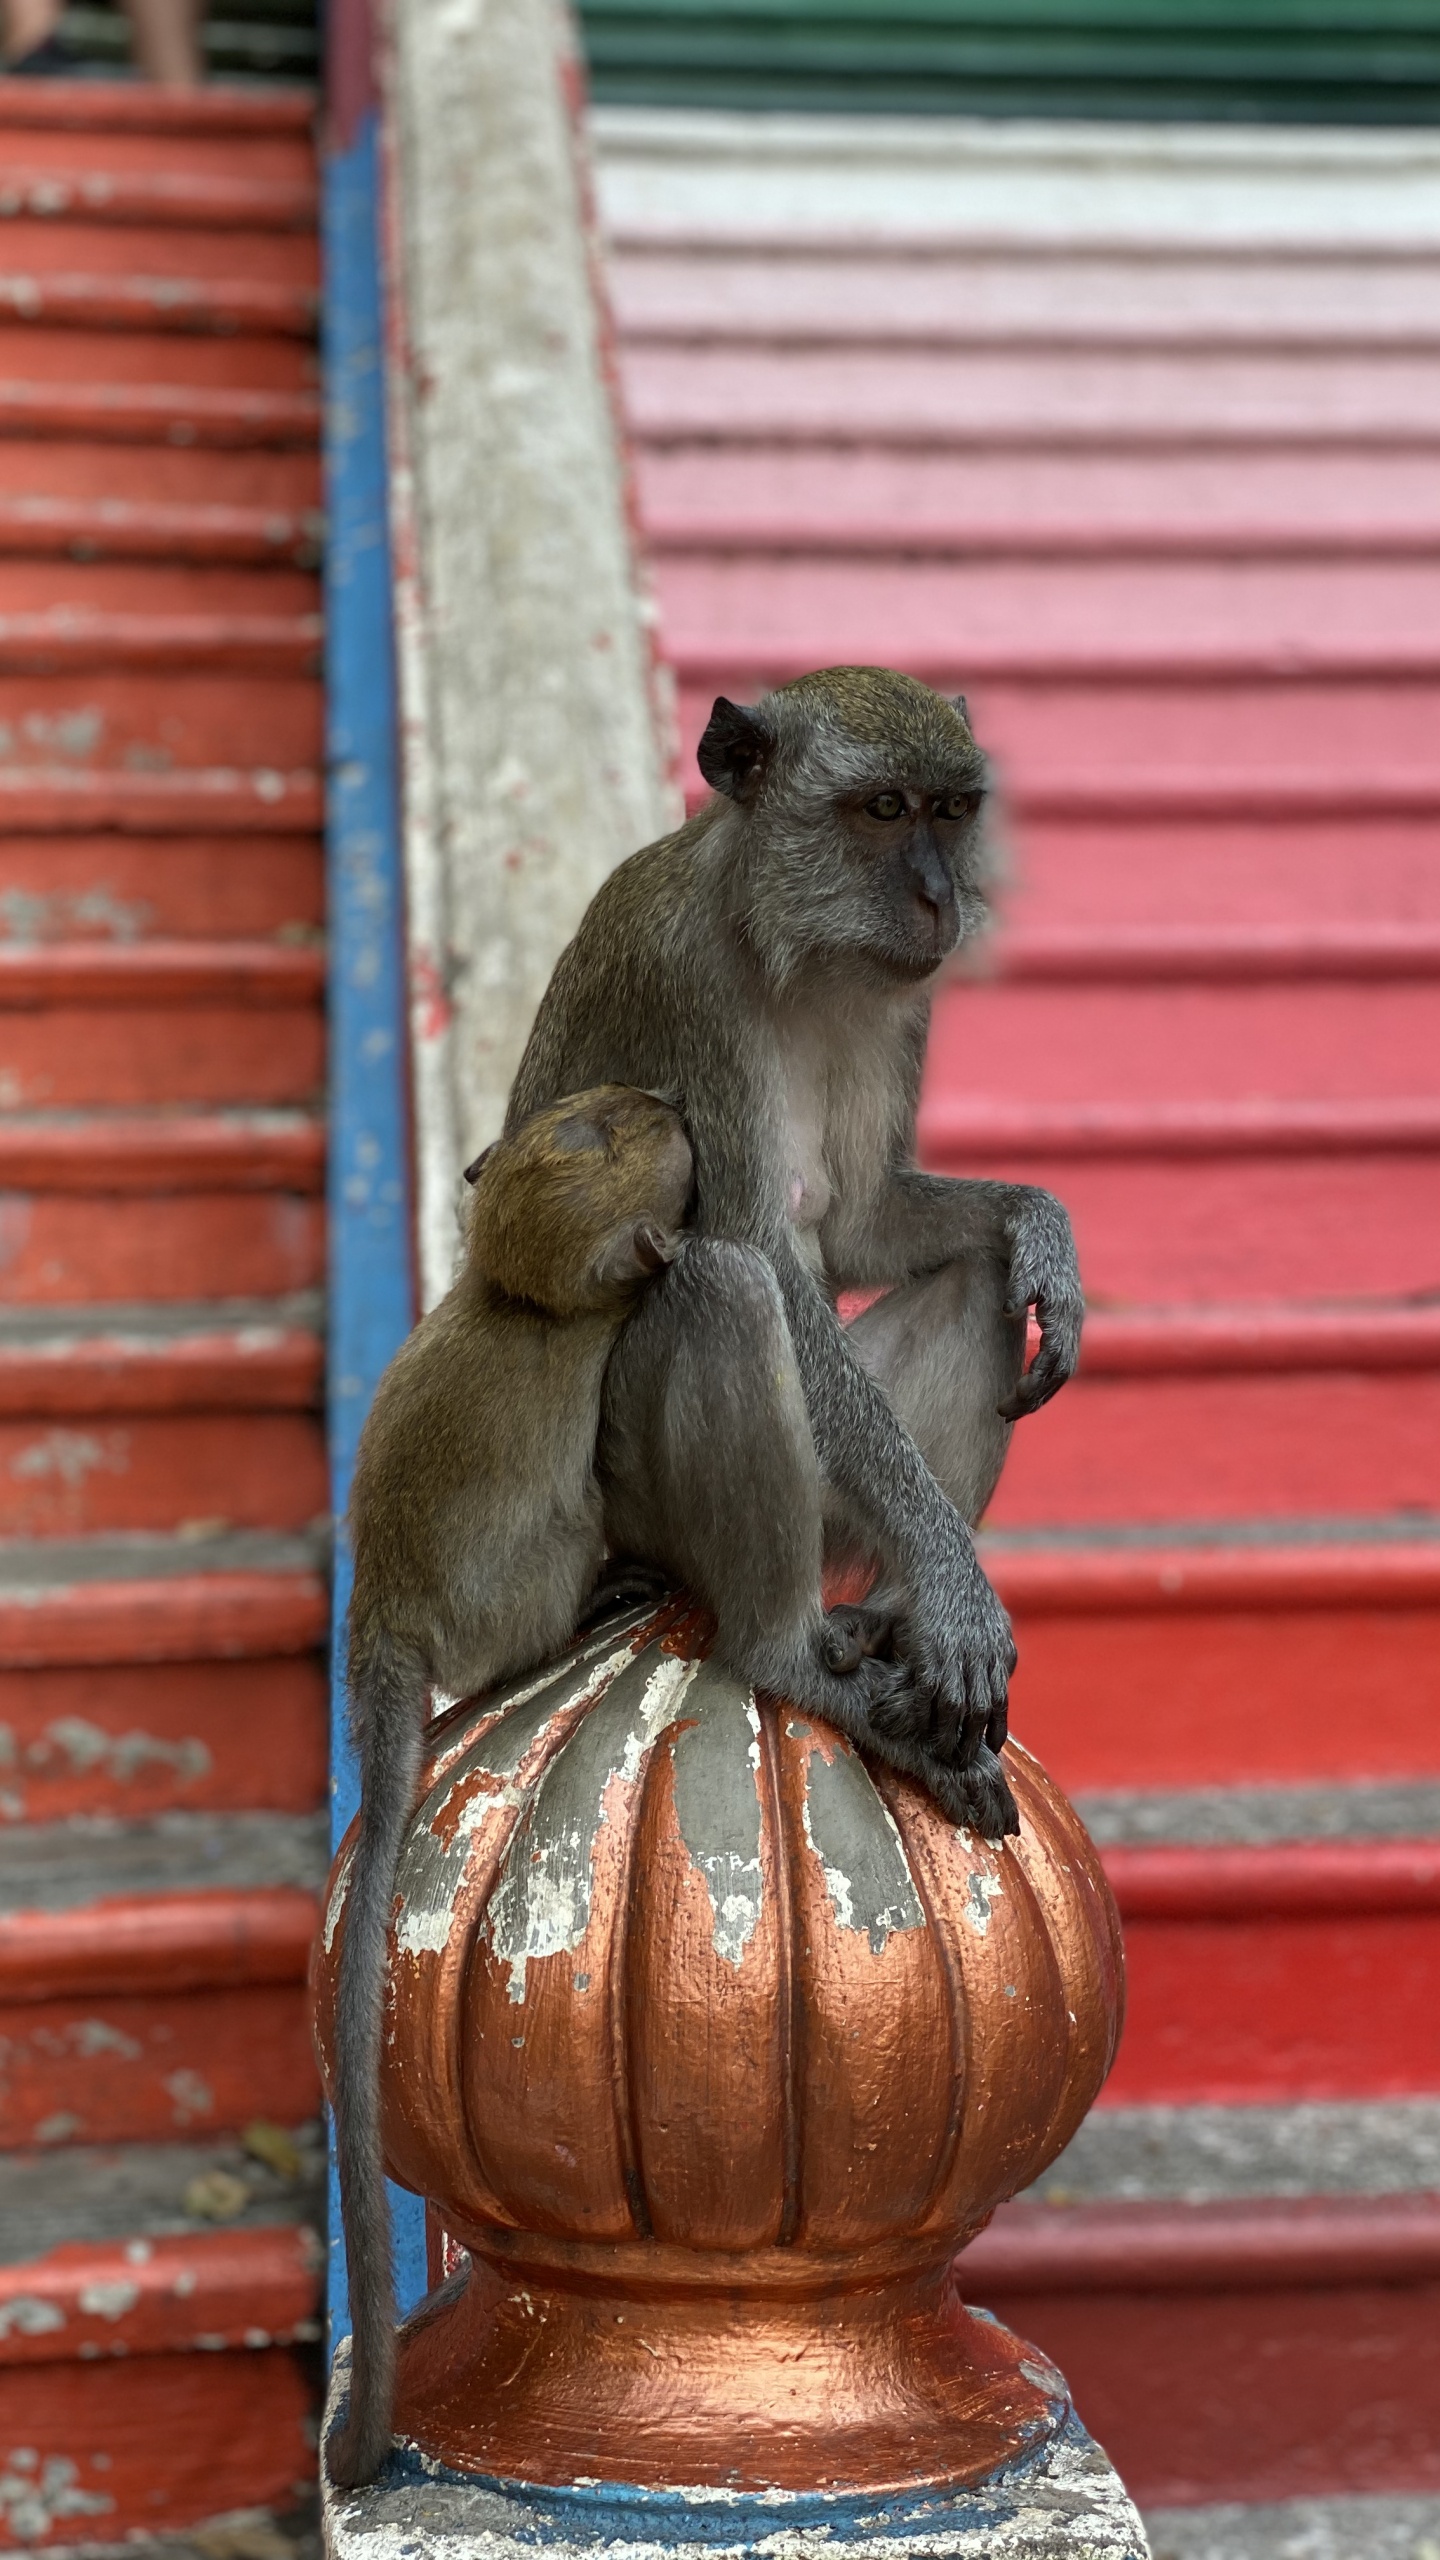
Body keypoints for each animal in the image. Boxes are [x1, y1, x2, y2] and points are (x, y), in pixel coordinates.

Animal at [507, 668, 1084, 1826]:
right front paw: (955, 1585)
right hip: (643, 1509)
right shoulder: (683, 980)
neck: (786, 946)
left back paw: (890, 1616)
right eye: (883, 809)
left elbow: (863, 1226)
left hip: (836, 1510)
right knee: (725, 1288)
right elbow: (760, 1251)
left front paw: (1042, 1226)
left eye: (950, 810)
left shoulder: (899, 1005)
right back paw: (790, 1652)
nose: (941, 899)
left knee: (980, 1281)